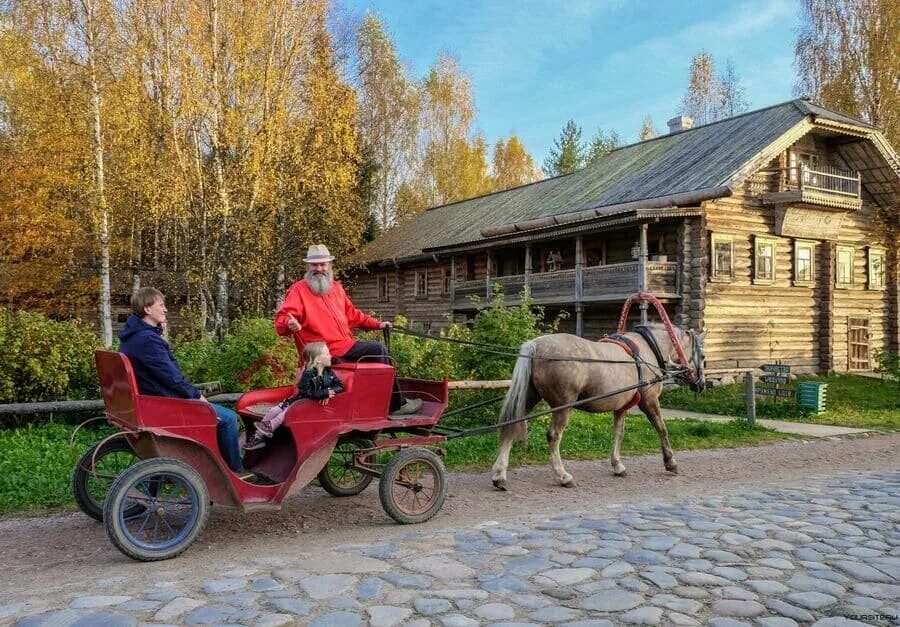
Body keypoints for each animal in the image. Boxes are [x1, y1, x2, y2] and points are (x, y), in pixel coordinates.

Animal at [492, 324, 704, 490]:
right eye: (702, 355)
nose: (700, 384)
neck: (647, 349)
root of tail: (535, 346)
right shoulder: (649, 400)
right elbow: (662, 428)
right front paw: (670, 462)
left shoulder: (622, 407)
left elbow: (619, 433)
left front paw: (617, 465)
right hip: (563, 406)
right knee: (553, 436)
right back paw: (563, 476)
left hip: (529, 398)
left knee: (510, 428)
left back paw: (499, 475)